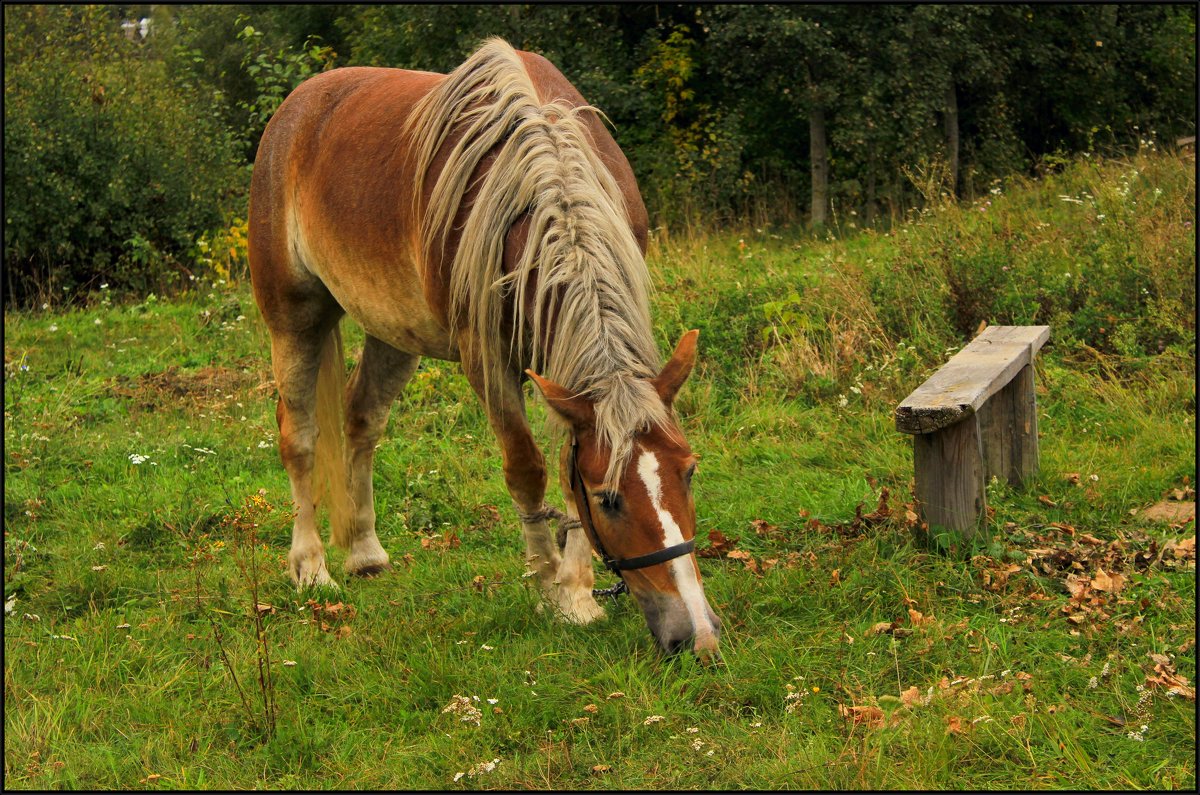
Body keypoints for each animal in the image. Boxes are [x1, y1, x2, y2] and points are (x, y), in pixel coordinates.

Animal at [244, 37, 720, 658]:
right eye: (609, 498)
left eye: (688, 472)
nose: (697, 635)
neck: (540, 186)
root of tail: (295, 110)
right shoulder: (488, 360)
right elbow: (527, 471)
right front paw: (550, 586)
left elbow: (563, 467)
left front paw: (579, 593)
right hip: (294, 316)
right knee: (299, 436)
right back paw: (310, 566)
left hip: (393, 334)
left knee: (361, 420)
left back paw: (366, 553)